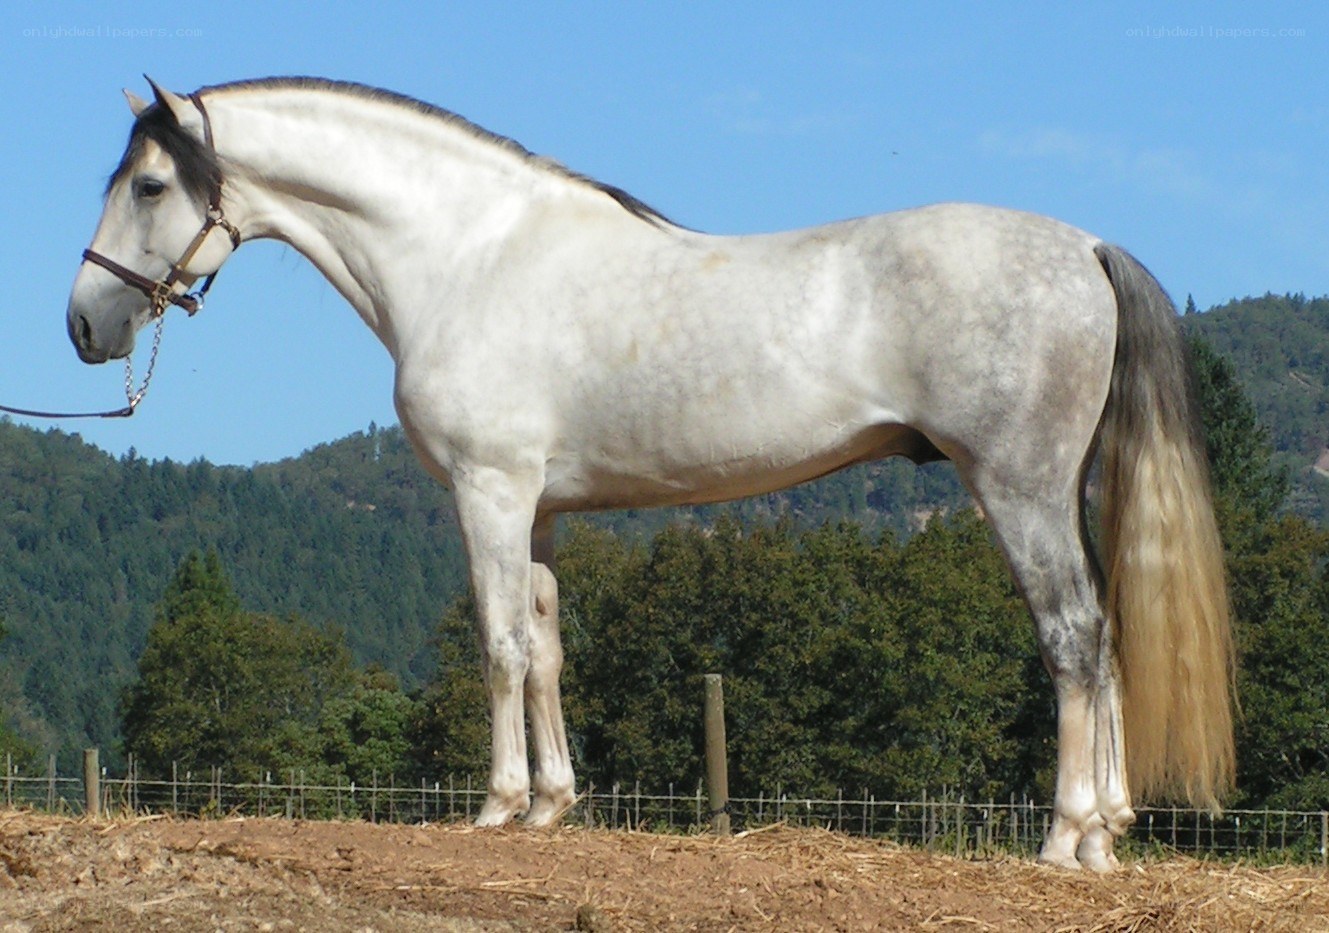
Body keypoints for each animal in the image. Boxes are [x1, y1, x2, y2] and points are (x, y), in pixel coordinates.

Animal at [66, 77, 1234, 870]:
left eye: (152, 183)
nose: (85, 323)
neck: (468, 256)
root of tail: (1084, 247)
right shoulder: (538, 509)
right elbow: (546, 648)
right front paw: (551, 805)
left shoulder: (488, 492)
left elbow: (498, 645)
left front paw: (496, 806)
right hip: (1064, 493)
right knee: (1107, 634)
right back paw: (1111, 827)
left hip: (1018, 488)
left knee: (1072, 637)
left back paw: (1067, 838)